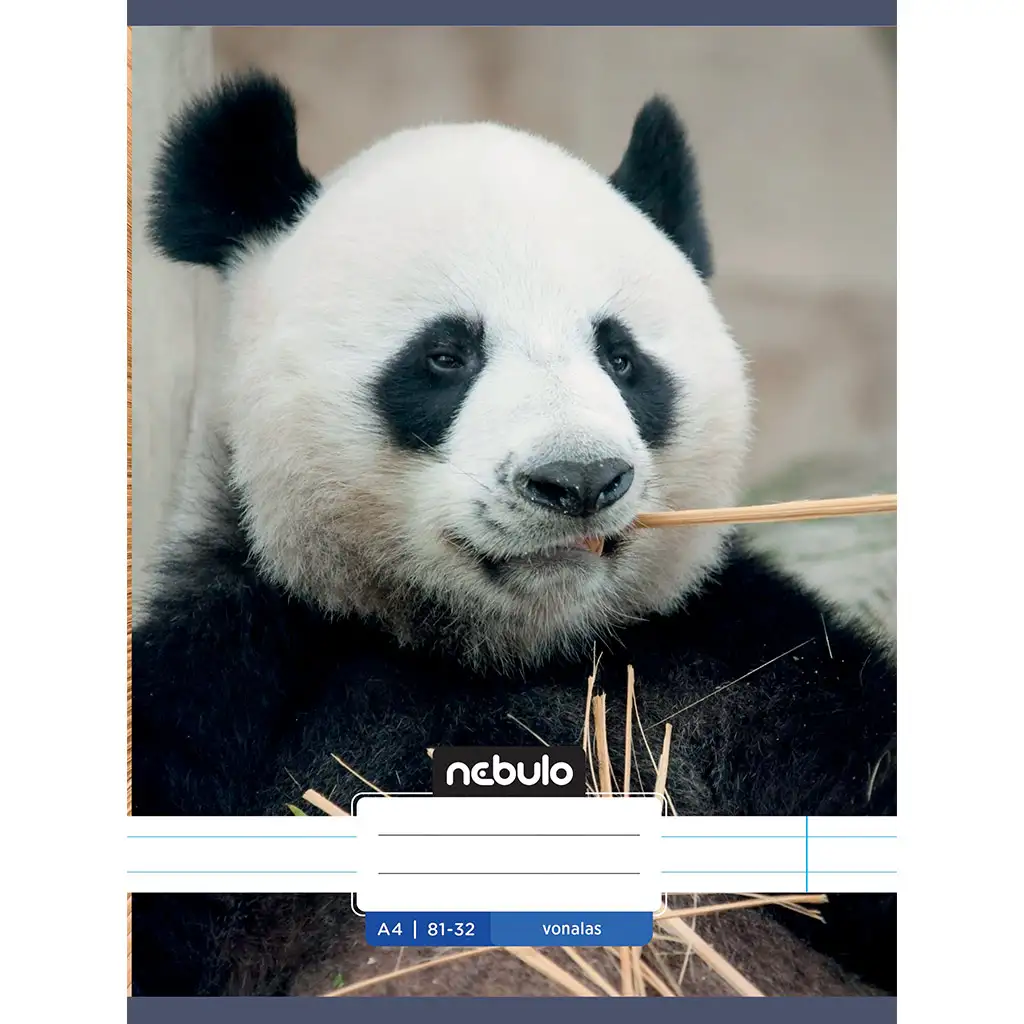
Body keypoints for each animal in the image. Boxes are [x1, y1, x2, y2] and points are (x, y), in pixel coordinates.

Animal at [131, 71, 897, 998]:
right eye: (446, 354)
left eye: (621, 357)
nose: (579, 480)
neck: (505, 654)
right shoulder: (238, 688)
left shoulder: (743, 671)